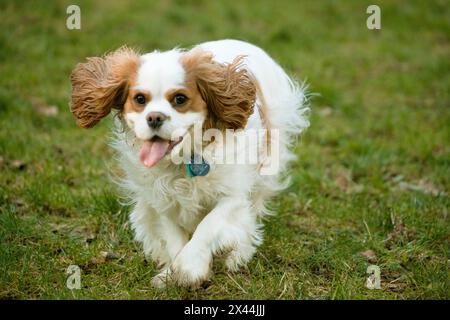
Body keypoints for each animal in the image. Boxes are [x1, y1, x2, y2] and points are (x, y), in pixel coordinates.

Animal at [69, 39, 310, 288]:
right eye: (140, 99)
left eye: (180, 99)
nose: (154, 117)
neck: (184, 159)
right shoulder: (163, 202)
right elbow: (174, 238)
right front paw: (171, 273)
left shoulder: (232, 197)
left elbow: (209, 226)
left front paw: (190, 267)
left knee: (252, 214)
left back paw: (238, 255)